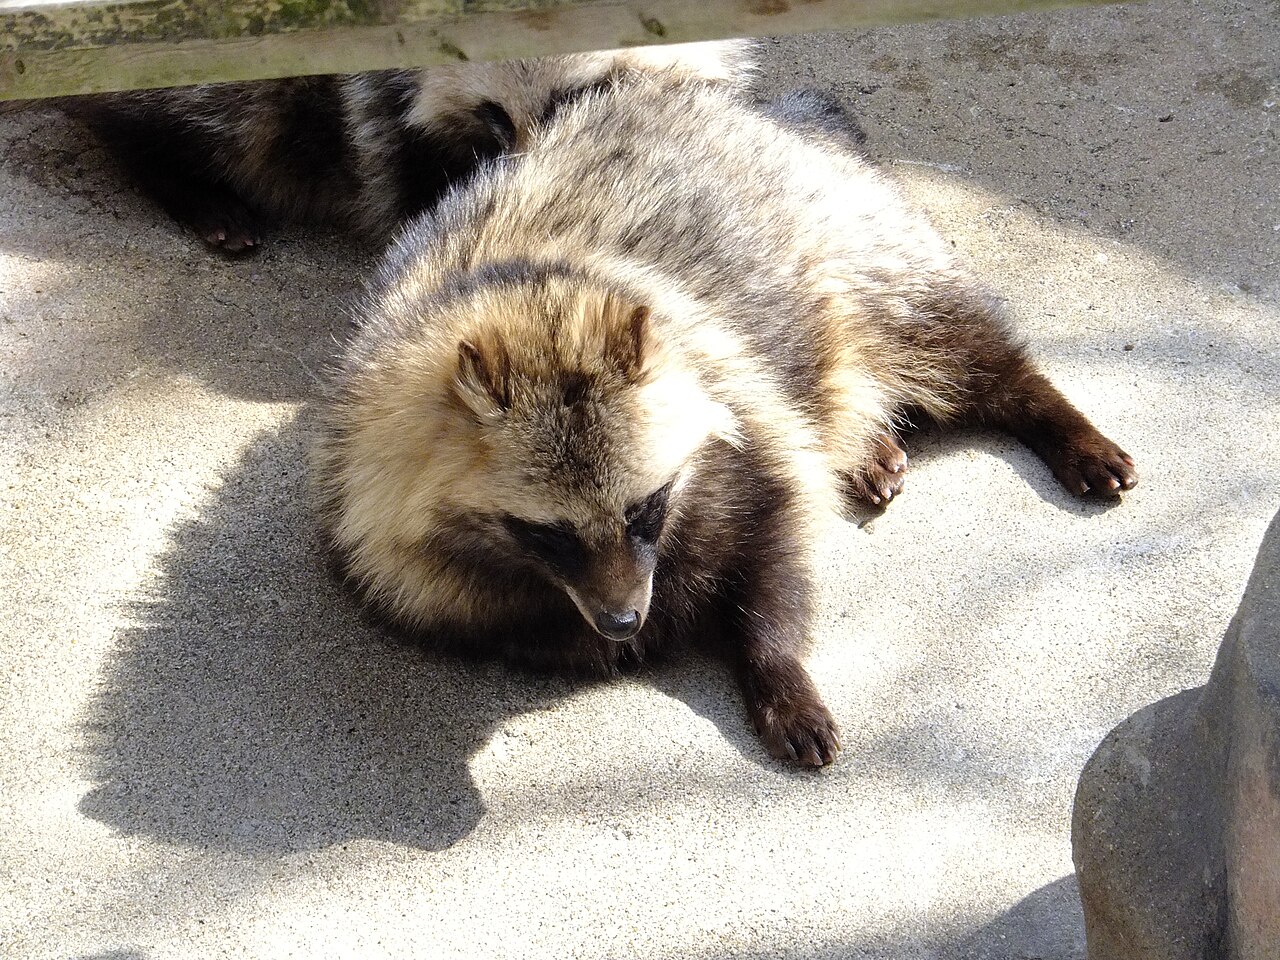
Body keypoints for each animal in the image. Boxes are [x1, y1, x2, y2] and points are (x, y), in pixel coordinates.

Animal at [313, 76, 1137, 766]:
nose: (622, 619)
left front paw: (775, 665)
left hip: (859, 242)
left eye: (644, 507)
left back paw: (1047, 411)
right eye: (549, 533)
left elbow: (778, 541)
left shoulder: (740, 405)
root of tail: (764, 111)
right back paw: (867, 444)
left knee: (949, 337)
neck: (523, 299)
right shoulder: (384, 509)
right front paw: (615, 630)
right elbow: (493, 618)